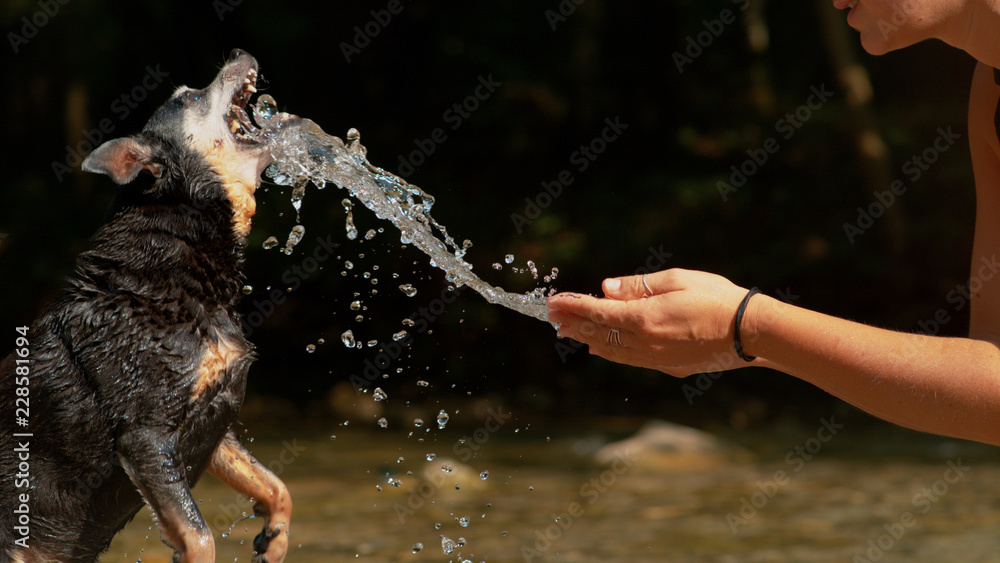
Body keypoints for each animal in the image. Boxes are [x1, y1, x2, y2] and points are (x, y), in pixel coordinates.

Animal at [1, 49, 292, 563]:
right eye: (190, 96)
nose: (240, 53)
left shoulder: (210, 421)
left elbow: (276, 486)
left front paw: (274, 541)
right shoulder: (145, 436)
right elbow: (200, 536)